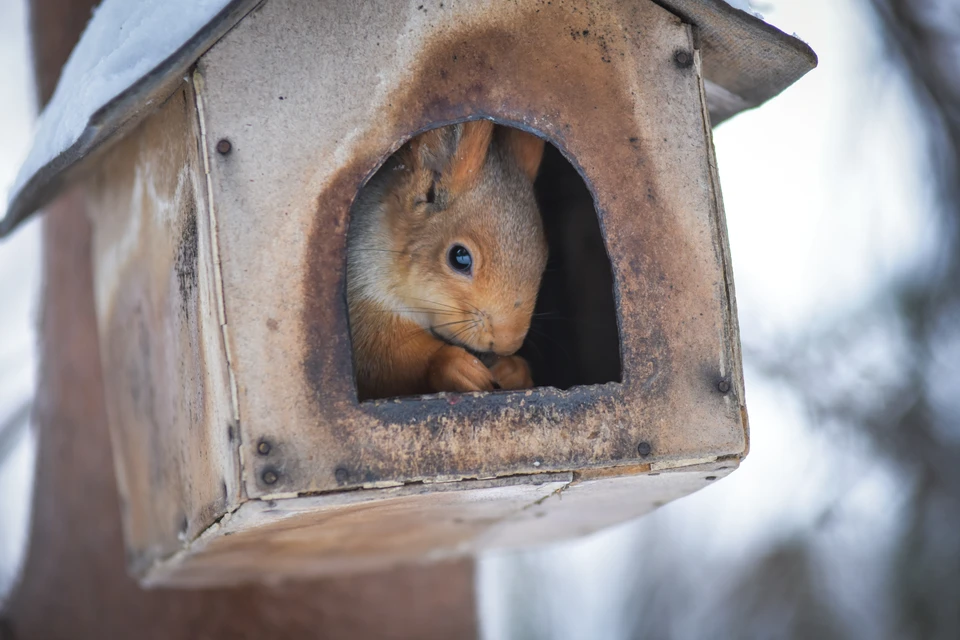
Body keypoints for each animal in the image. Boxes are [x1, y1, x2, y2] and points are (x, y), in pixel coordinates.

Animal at [348, 119, 552, 400]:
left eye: (544, 256)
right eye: (459, 258)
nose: (507, 344)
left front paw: (513, 370)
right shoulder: (361, 297)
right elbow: (377, 359)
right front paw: (454, 365)